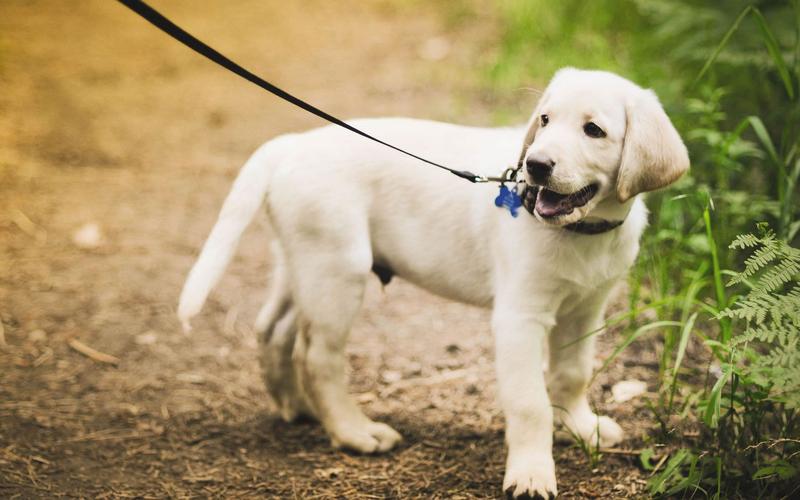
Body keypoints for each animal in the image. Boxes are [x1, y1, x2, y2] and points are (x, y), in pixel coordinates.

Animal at [177, 68, 688, 498]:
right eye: (545, 120)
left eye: (593, 130)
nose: (536, 165)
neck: (582, 232)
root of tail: (292, 144)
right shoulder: (519, 318)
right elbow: (529, 403)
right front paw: (531, 474)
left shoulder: (586, 308)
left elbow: (572, 374)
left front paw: (581, 428)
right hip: (337, 269)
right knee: (317, 355)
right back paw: (354, 432)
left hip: (301, 261)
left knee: (273, 329)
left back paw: (297, 407)